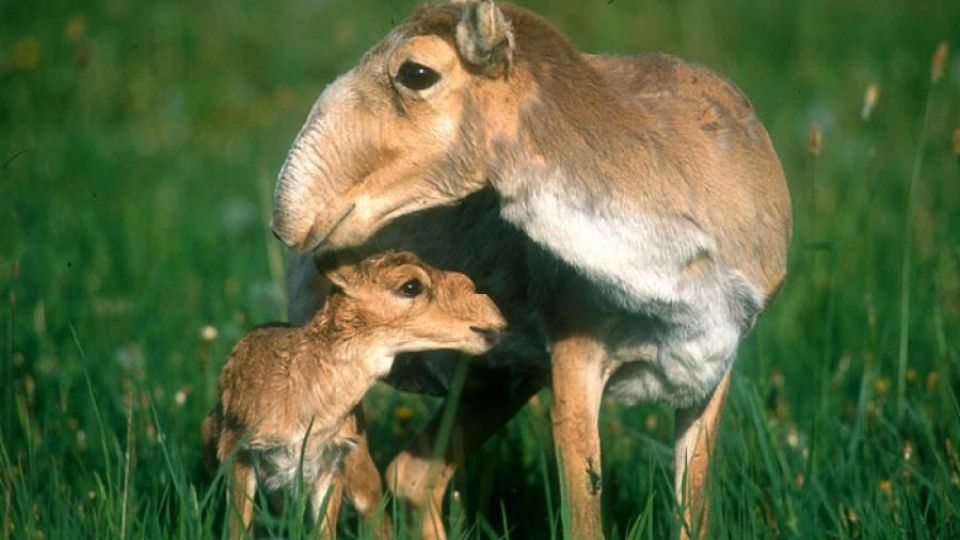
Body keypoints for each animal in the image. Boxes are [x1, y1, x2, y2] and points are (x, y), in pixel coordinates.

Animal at [203, 251, 510, 536]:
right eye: (410, 285)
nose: (493, 314)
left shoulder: (330, 465)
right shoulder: (239, 456)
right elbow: (237, 530)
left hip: (361, 468)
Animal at [268, 2, 788, 536]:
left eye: (416, 72)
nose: (292, 215)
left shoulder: (711, 372)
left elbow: (692, 511)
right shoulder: (575, 363)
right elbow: (584, 515)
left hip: (496, 382)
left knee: (412, 475)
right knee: (367, 487)